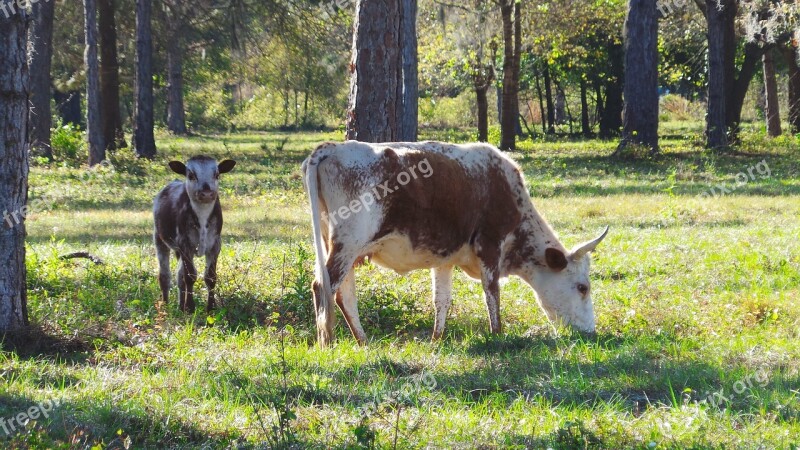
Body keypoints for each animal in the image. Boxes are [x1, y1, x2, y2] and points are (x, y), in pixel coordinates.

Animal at [152, 156, 234, 312]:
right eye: (191, 175)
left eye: (217, 174)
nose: (207, 193)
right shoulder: (185, 244)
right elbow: (189, 276)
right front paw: (190, 307)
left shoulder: (216, 244)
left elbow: (210, 277)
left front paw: (211, 307)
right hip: (159, 238)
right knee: (164, 275)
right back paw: (166, 305)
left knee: (179, 277)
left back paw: (180, 305)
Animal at [304, 142, 608, 346]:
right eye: (583, 287)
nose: (590, 332)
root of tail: (331, 148)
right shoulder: (490, 243)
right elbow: (492, 292)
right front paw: (497, 335)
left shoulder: (445, 259)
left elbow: (442, 300)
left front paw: (437, 339)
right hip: (348, 243)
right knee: (324, 286)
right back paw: (327, 342)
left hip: (340, 247)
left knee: (343, 294)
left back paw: (363, 342)